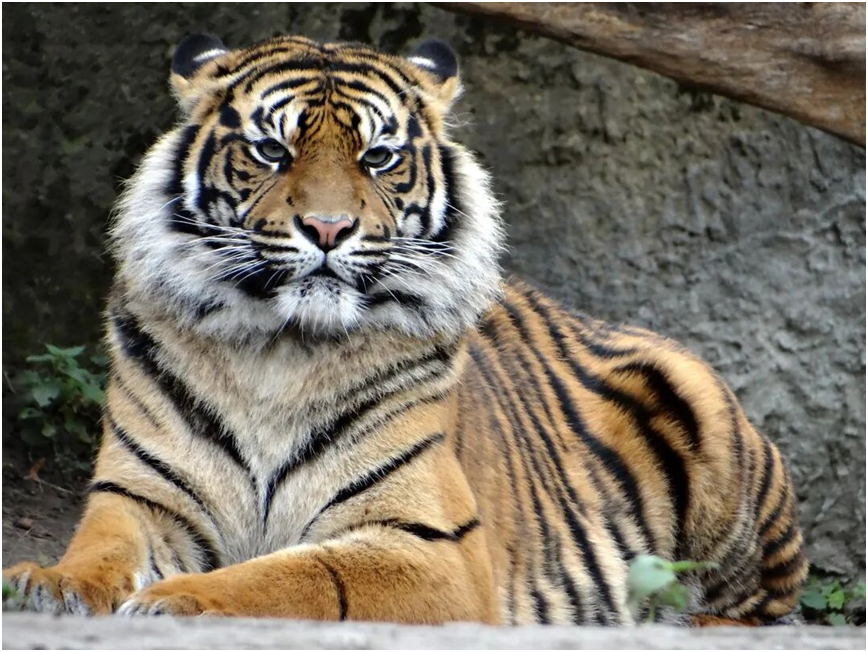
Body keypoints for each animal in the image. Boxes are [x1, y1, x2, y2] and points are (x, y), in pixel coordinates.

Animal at [2, 34, 807, 625]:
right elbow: (102, 549)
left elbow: (289, 577)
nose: (328, 228)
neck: (278, 352)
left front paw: (177, 599)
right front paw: (48, 583)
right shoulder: (142, 496)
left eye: (378, 157)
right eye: (272, 151)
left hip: (708, 421)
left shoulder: (428, 545)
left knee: (760, 610)